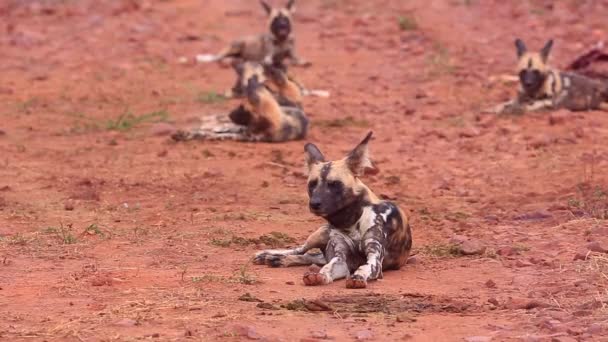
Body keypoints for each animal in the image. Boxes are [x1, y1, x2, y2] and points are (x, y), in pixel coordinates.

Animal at [252, 132, 414, 288]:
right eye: (312, 184)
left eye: (334, 184)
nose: (314, 203)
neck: (350, 222)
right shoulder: (341, 259)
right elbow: (328, 267)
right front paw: (320, 276)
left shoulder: (374, 260)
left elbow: (364, 267)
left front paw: (358, 277)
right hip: (319, 234)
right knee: (301, 250)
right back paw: (272, 256)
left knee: (309, 256)